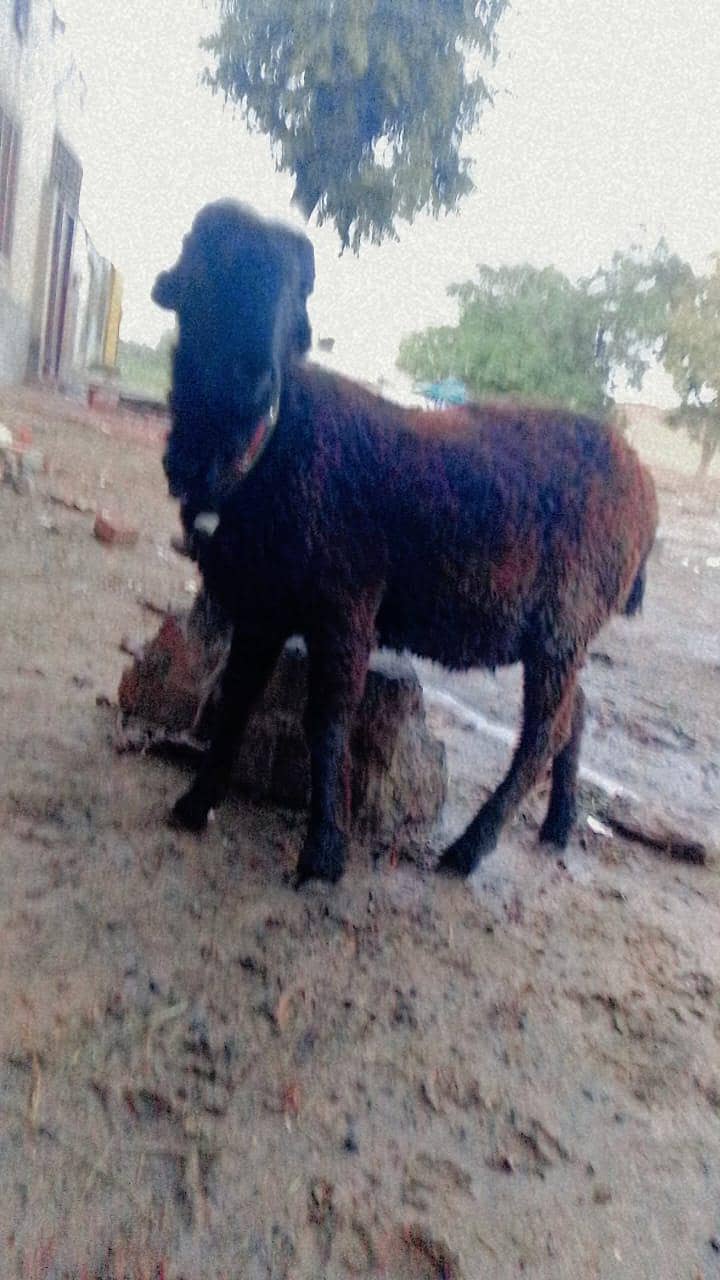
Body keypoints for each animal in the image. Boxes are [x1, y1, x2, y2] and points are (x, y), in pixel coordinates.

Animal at [152, 199, 658, 885]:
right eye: (205, 267)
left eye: (297, 291)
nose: (256, 380)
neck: (275, 445)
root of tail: (644, 481)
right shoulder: (262, 607)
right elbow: (235, 700)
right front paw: (197, 801)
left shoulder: (346, 600)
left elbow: (328, 720)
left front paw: (324, 853)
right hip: (561, 631)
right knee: (574, 715)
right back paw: (556, 826)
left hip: (567, 619)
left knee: (543, 734)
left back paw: (468, 850)